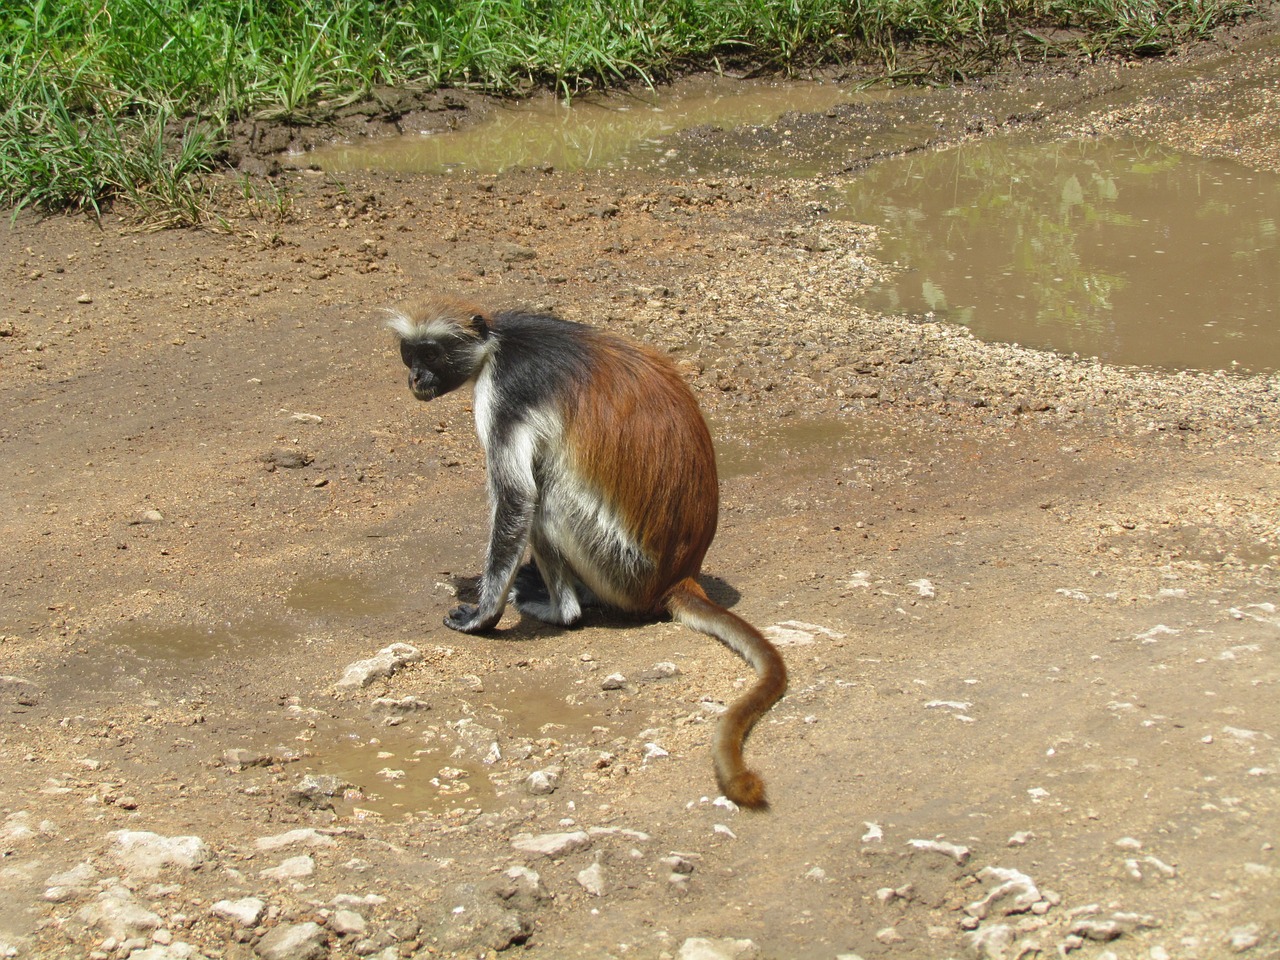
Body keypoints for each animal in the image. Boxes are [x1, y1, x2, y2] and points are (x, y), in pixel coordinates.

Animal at [386, 300, 788, 814]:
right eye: (409, 354)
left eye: (431, 354)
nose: (414, 377)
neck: (499, 341)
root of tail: (679, 576)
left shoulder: (508, 390)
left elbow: (518, 499)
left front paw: (482, 616)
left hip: (618, 561)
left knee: (545, 497)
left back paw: (564, 609)